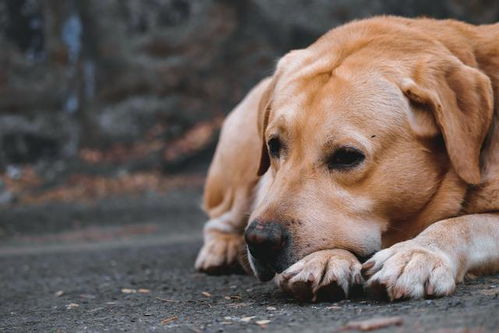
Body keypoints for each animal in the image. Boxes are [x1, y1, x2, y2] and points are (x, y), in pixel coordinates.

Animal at [195, 16, 499, 300]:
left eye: (347, 156)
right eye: (273, 145)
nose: (260, 241)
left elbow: (462, 225)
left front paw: (417, 253)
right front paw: (324, 258)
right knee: (219, 217)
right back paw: (222, 247)